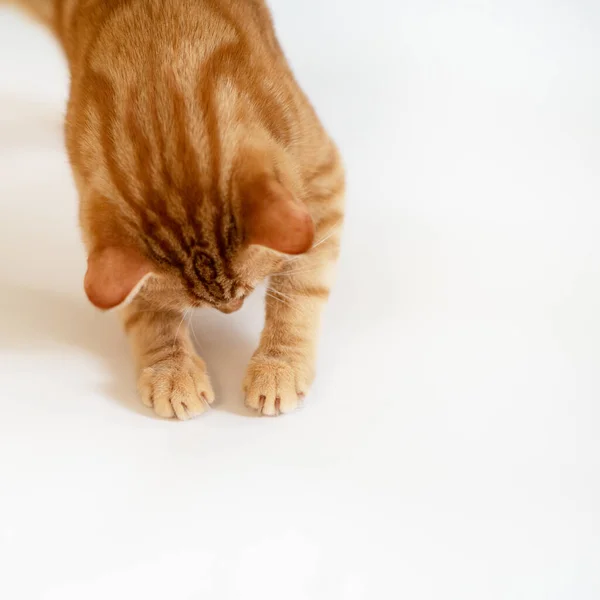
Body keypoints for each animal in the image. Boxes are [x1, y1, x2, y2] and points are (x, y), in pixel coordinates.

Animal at [8, 0, 346, 420]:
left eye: (245, 290)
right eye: (197, 303)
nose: (232, 309)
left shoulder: (322, 185)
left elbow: (298, 290)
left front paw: (278, 364)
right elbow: (148, 314)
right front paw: (170, 371)